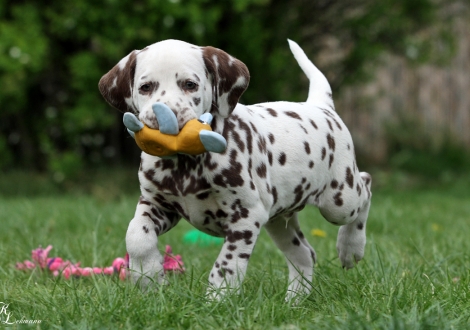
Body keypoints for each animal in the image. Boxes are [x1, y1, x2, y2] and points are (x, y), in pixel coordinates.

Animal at [98, 38, 370, 300]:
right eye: (145, 87)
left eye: (189, 84)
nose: (165, 117)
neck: (186, 164)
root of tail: (321, 106)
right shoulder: (157, 204)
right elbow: (136, 235)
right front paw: (148, 276)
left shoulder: (245, 217)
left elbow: (226, 264)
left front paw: (217, 298)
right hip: (279, 219)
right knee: (304, 253)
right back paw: (295, 300)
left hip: (339, 200)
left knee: (365, 186)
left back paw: (350, 247)